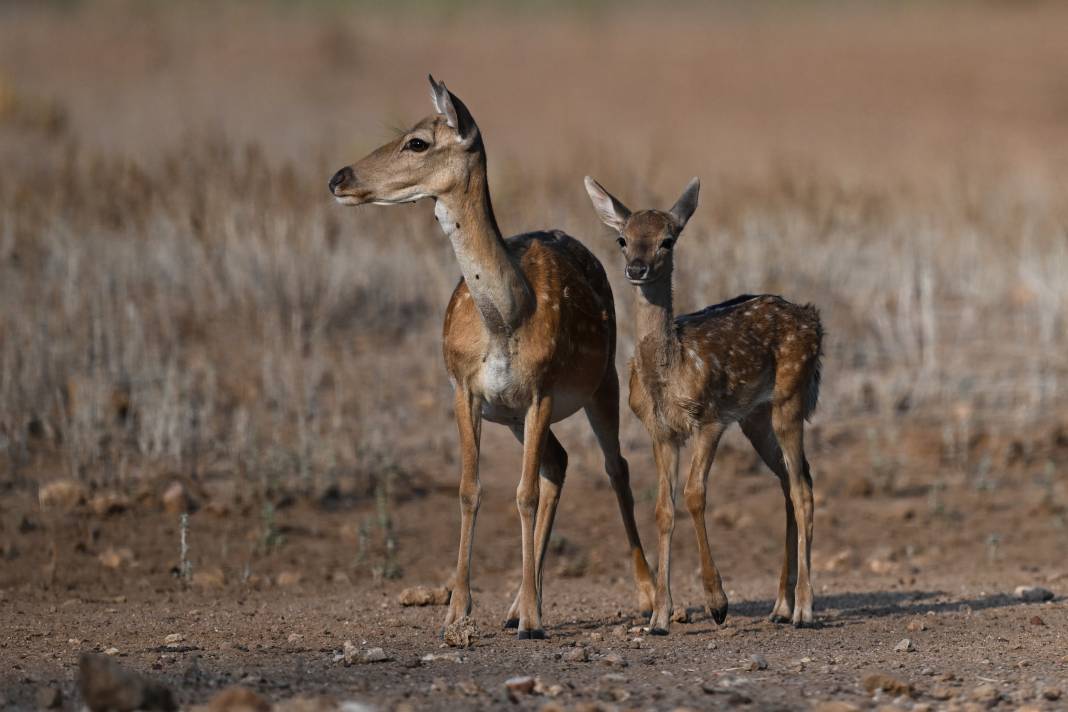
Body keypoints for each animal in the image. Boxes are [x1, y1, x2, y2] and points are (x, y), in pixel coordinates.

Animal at [328, 79, 653, 640]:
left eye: (417, 141)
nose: (338, 178)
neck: (506, 320)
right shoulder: (466, 389)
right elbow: (469, 489)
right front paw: (457, 612)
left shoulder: (542, 388)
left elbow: (522, 494)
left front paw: (533, 619)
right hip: (517, 416)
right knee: (559, 463)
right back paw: (517, 605)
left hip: (602, 382)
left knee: (615, 467)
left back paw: (645, 597)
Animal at [589, 177, 820, 627]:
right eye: (623, 239)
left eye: (667, 240)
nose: (636, 269)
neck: (671, 369)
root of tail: (813, 320)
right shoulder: (661, 431)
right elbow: (663, 508)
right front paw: (660, 616)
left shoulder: (710, 418)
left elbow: (695, 494)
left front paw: (717, 602)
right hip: (756, 417)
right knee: (792, 480)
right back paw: (779, 606)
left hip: (790, 397)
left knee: (802, 489)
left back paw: (803, 608)